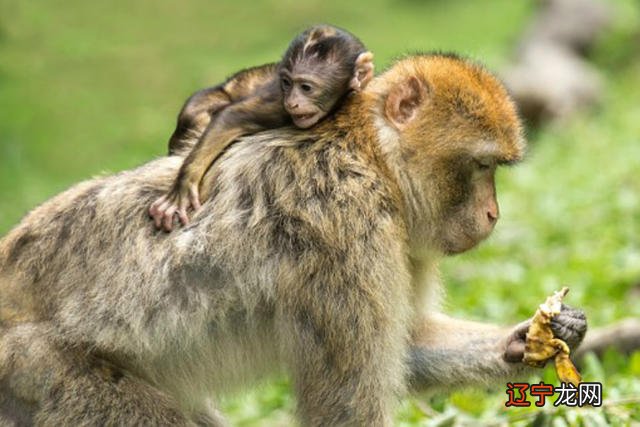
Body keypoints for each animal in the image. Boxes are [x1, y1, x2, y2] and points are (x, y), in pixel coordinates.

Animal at [0, 55, 584, 426]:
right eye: (483, 165)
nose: (492, 213)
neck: (370, 157)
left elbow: (407, 344)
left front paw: (534, 338)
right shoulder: (344, 227)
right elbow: (346, 409)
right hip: (34, 371)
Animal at [150, 25, 376, 232]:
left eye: (306, 87)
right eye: (286, 83)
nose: (293, 102)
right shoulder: (278, 105)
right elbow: (231, 117)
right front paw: (183, 187)